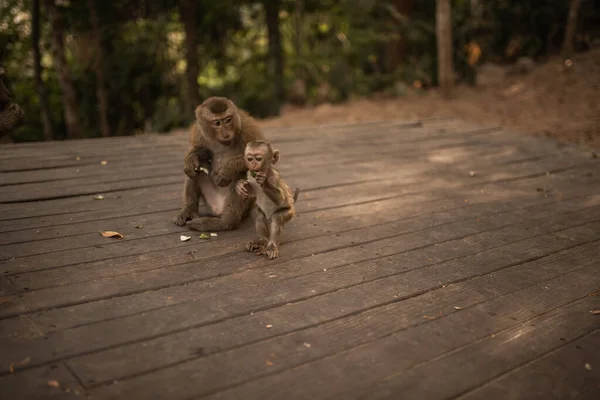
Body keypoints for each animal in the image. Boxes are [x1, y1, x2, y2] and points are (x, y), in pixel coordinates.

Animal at [175, 96, 266, 231]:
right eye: (217, 123)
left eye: (228, 120)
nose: (226, 133)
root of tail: (218, 209)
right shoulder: (199, 130)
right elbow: (199, 152)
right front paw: (191, 158)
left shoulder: (246, 126)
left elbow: (265, 156)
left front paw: (227, 170)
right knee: (196, 170)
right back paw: (189, 210)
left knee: (238, 177)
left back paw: (224, 223)